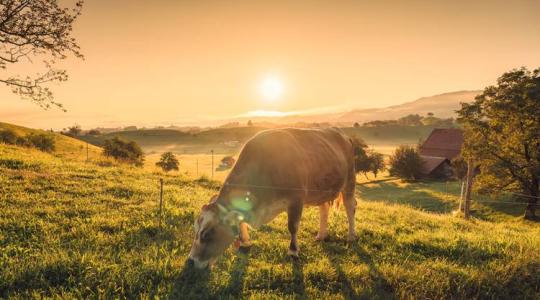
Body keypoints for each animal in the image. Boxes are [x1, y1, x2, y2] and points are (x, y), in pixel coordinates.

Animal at [188, 127, 356, 268]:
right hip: (322, 188)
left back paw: (351, 236)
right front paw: (245, 242)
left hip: (349, 180)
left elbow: (292, 226)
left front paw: (293, 251)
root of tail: (343, 135)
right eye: (195, 230)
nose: (191, 261)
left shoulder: (297, 198)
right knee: (324, 208)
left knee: (350, 207)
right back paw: (321, 235)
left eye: (206, 234)